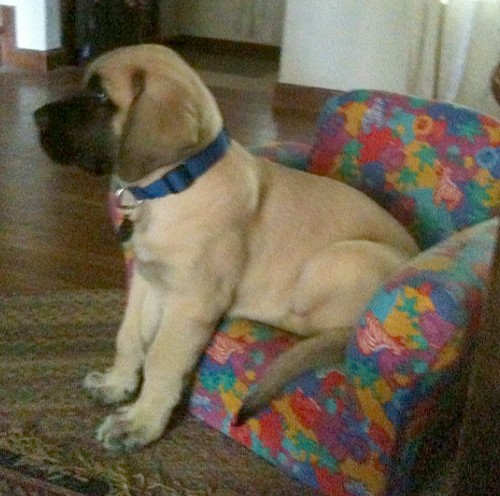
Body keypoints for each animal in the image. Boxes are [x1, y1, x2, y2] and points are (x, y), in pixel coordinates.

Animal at [34, 44, 418, 452]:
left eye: (100, 95)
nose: (36, 117)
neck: (173, 185)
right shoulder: (147, 279)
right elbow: (129, 337)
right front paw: (117, 384)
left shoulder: (192, 304)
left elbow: (161, 360)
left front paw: (140, 422)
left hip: (334, 261)